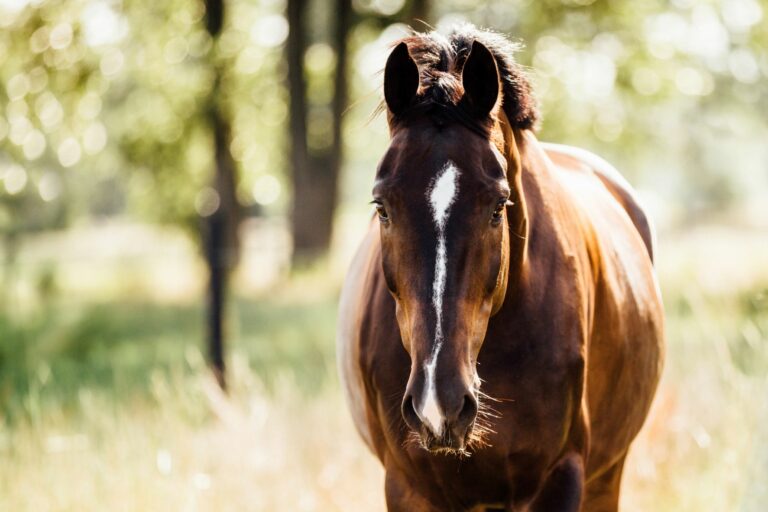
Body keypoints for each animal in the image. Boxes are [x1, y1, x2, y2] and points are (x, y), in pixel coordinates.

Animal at [338, 27, 664, 512]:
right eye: (381, 207)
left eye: (498, 206)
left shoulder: (562, 477)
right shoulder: (406, 485)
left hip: (608, 475)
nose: (439, 404)